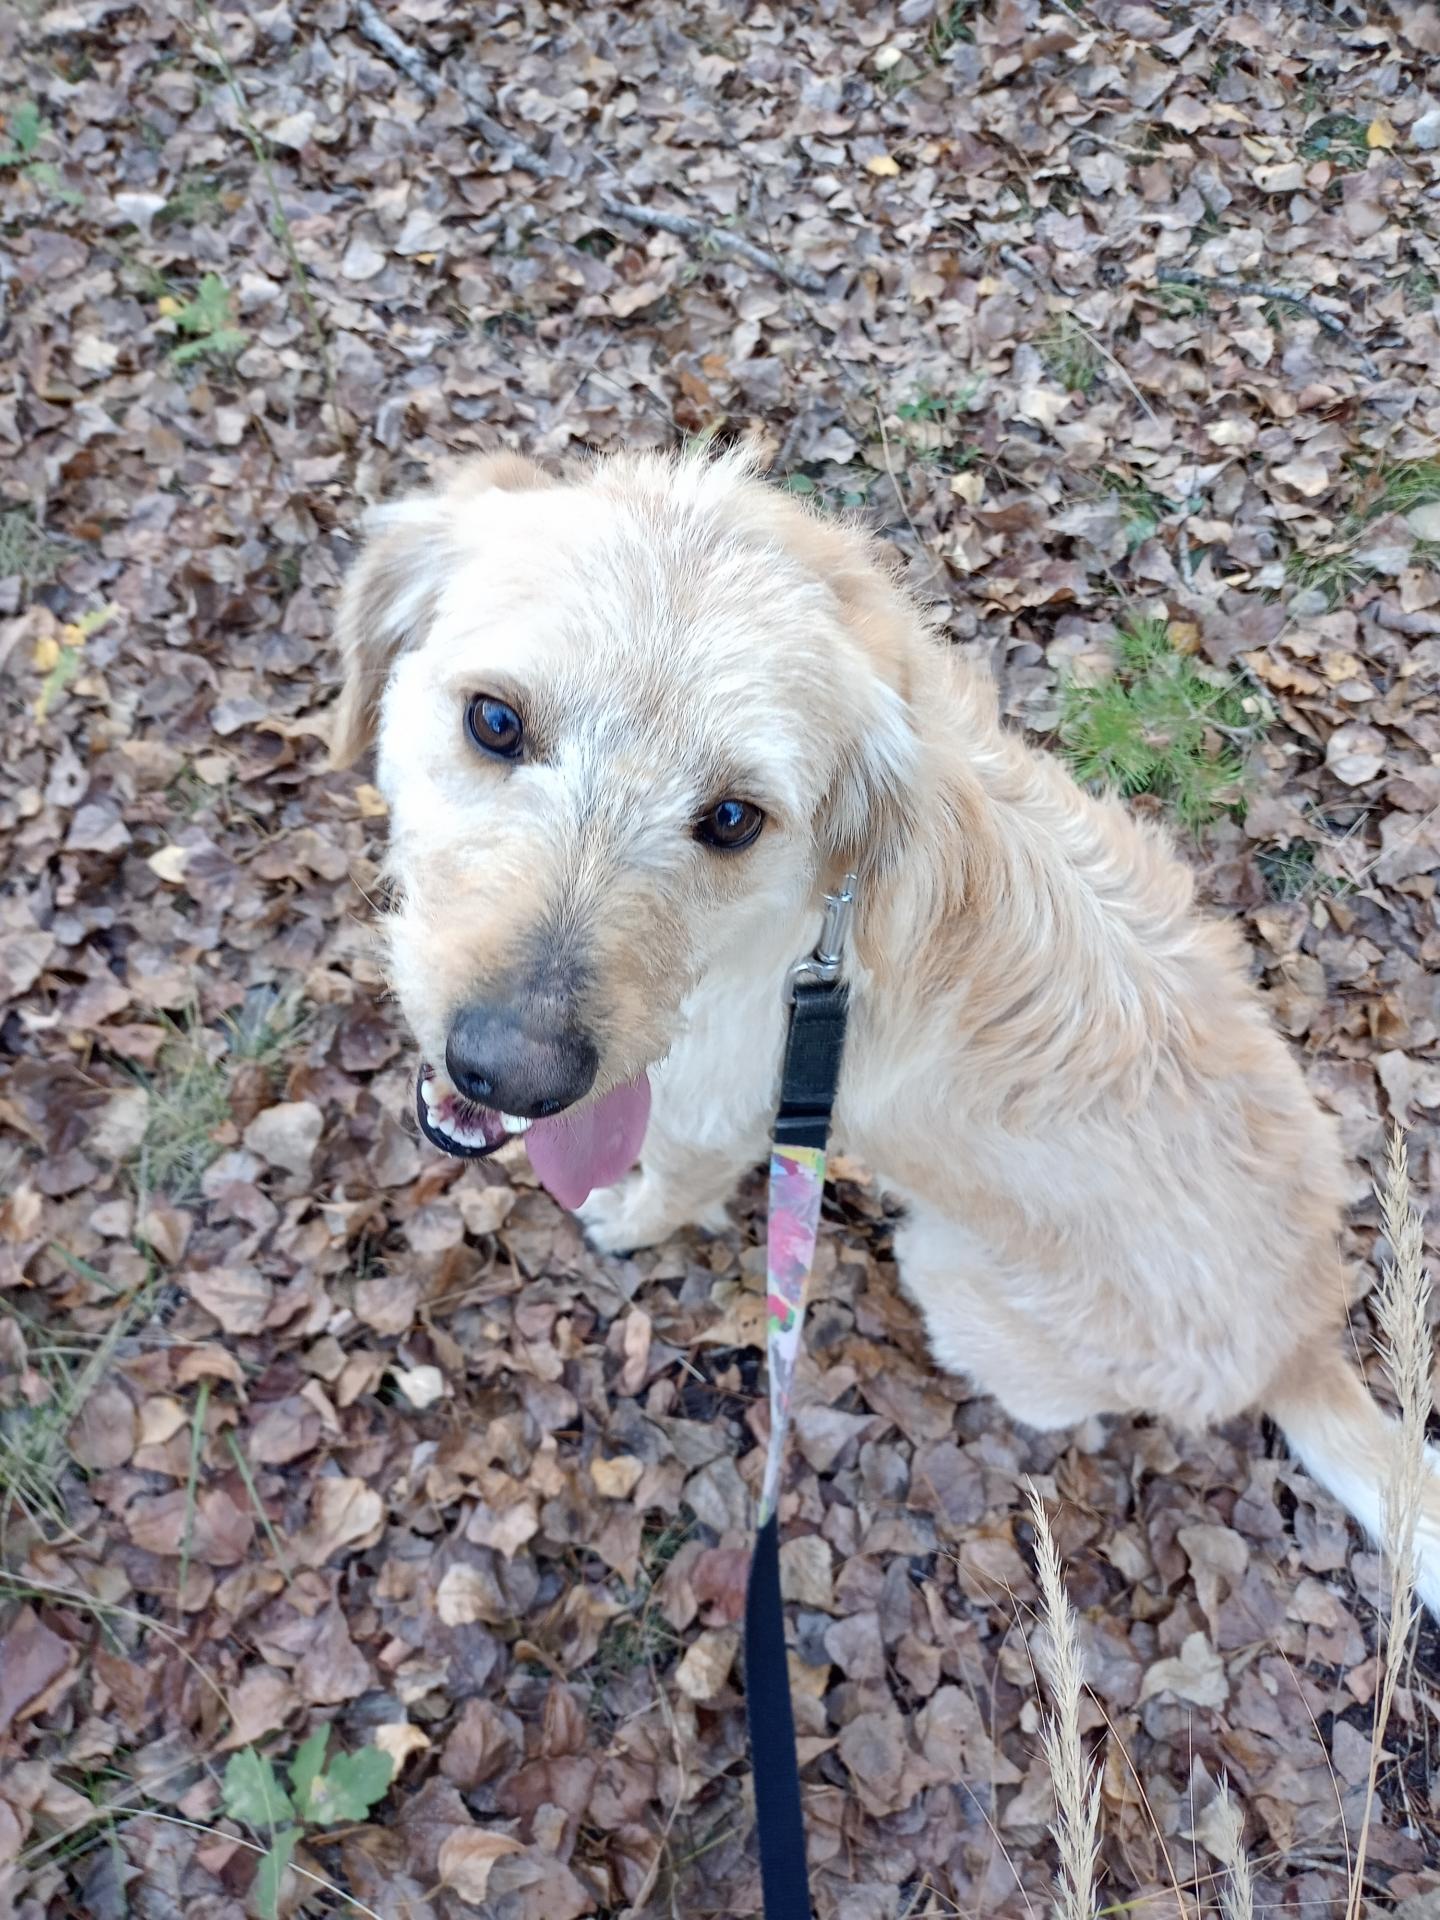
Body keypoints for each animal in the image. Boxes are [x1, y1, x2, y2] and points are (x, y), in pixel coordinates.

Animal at [330, 441, 1440, 1612]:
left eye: (733, 818)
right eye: (496, 721)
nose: (510, 1072)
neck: (810, 920)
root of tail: (1304, 1342)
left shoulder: (709, 1124)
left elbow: (664, 1191)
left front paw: (623, 1222)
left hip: (948, 1270)